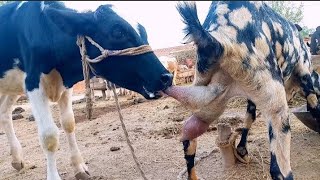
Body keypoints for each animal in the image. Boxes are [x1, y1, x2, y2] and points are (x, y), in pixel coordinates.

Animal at [0, 1, 172, 180]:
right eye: (117, 32)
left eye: (144, 31)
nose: (166, 77)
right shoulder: (33, 83)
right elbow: (49, 136)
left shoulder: (65, 86)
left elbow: (69, 123)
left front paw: (79, 166)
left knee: (4, 113)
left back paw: (16, 158)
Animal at [165, 1, 320, 180]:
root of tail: (219, 43)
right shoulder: (304, 73)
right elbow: (314, 106)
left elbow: (249, 116)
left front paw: (242, 151)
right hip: (275, 101)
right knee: (280, 170)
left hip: (204, 100)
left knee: (189, 138)